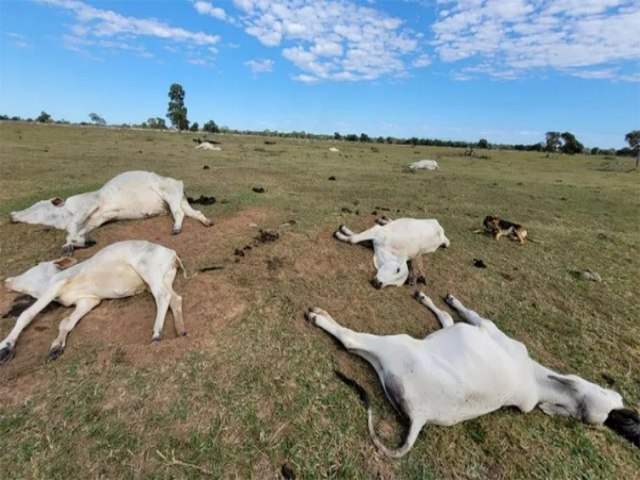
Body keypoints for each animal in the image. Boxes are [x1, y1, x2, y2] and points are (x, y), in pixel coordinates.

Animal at [0, 240, 189, 364]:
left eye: (36, 265)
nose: (7, 281)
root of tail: (172, 253)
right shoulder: (88, 300)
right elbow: (66, 322)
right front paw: (56, 347)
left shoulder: (57, 284)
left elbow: (27, 314)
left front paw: (5, 347)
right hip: (164, 278)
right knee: (175, 298)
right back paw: (180, 330)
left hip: (149, 272)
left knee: (163, 297)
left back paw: (157, 333)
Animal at [8, 171, 212, 253]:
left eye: (37, 206)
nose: (12, 215)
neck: (65, 213)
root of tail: (178, 182)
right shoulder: (94, 221)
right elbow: (75, 233)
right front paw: (74, 244)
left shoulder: (91, 202)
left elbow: (73, 227)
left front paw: (78, 242)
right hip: (179, 200)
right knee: (195, 212)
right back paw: (207, 222)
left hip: (170, 196)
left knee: (180, 214)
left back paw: (176, 228)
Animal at [306, 292, 640, 458]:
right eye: (612, 398)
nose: (626, 415)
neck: (536, 380)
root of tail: (421, 416)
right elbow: (446, 318)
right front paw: (428, 298)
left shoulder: (484, 325)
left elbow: (461, 314)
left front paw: (447, 299)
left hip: (396, 345)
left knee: (351, 340)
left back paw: (320, 316)